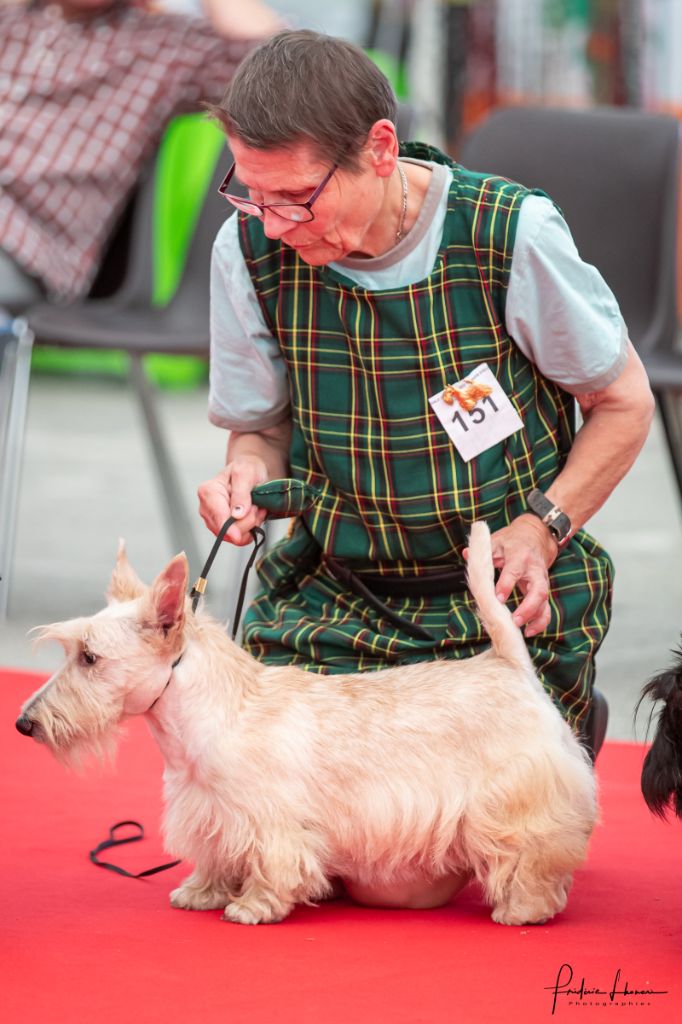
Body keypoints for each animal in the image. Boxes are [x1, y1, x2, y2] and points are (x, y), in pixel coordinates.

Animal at [15, 522, 597, 926]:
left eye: (89, 657)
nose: (24, 724)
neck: (213, 712)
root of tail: (507, 662)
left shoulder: (268, 820)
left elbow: (273, 863)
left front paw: (252, 906)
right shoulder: (208, 811)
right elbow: (215, 854)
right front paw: (202, 892)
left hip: (515, 804)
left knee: (535, 852)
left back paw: (524, 908)